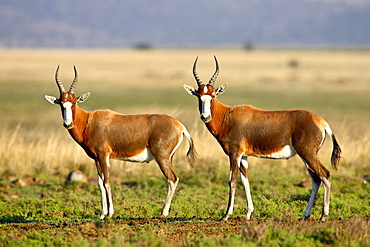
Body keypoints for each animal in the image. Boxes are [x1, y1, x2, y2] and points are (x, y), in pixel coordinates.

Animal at [45, 65, 197, 218]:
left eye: (74, 102)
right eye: (61, 103)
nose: (67, 123)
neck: (90, 121)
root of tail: (180, 126)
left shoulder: (103, 156)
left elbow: (106, 182)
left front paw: (110, 213)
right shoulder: (96, 159)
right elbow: (100, 183)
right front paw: (102, 214)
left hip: (162, 157)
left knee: (172, 179)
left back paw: (163, 213)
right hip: (168, 158)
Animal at [184, 56, 342, 222]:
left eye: (213, 95)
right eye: (199, 96)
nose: (205, 116)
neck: (228, 116)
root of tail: (322, 122)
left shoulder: (234, 154)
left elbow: (232, 180)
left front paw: (226, 215)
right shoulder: (243, 156)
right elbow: (245, 181)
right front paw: (248, 213)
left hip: (308, 154)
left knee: (325, 175)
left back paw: (323, 216)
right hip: (305, 156)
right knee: (316, 179)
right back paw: (305, 215)